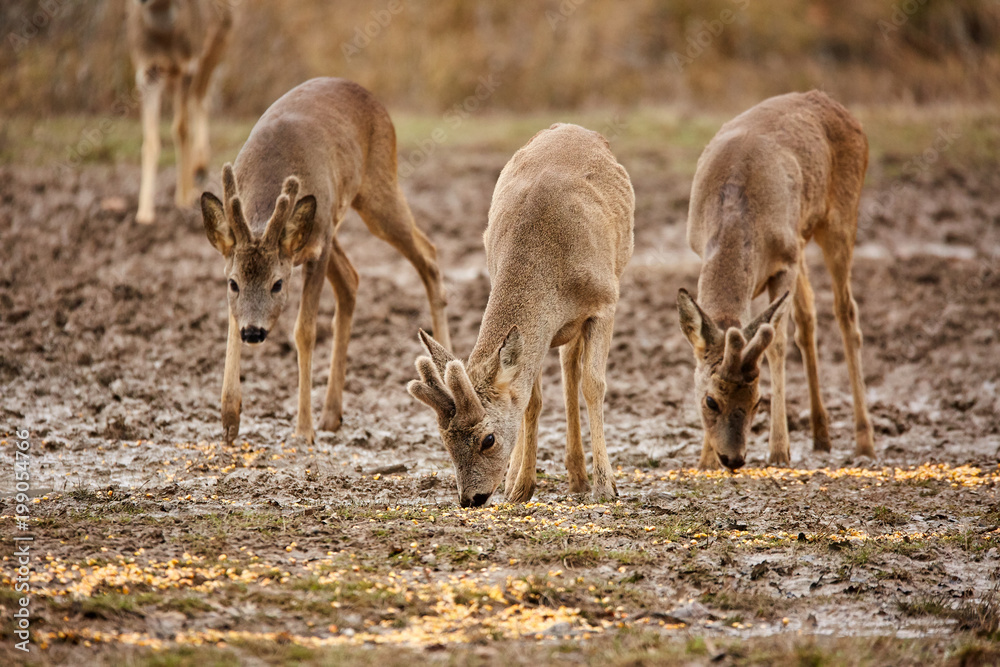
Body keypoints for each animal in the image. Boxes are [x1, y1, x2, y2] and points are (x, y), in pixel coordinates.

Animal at [126, 0, 231, 224]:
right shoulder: (147, 71)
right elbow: (151, 141)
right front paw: (144, 214)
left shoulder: (188, 65)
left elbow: (182, 128)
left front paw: (183, 198)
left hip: (220, 39)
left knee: (201, 97)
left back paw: (198, 169)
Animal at [201, 77, 452, 444]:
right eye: (233, 283)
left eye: (277, 284)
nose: (254, 332)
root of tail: (363, 91)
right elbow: (232, 318)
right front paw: (229, 419)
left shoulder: (317, 249)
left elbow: (304, 331)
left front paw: (303, 430)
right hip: (336, 221)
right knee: (352, 279)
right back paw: (332, 414)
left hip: (376, 189)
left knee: (429, 253)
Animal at [406, 124, 632, 506]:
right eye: (444, 440)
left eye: (488, 439)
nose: (471, 498)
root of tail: (576, 128)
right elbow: (530, 400)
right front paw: (520, 487)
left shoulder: (604, 302)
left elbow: (594, 384)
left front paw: (606, 487)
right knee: (564, 367)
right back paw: (563, 477)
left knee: (573, 370)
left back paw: (583, 479)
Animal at [680, 91, 876, 472]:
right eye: (710, 401)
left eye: (758, 401)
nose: (734, 458)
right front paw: (704, 462)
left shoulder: (784, 260)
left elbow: (777, 345)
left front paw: (779, 452)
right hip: (802, 240)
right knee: (808, 316)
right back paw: (821, 436)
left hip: (839, 219)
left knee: (846, 312)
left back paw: (865, 442)